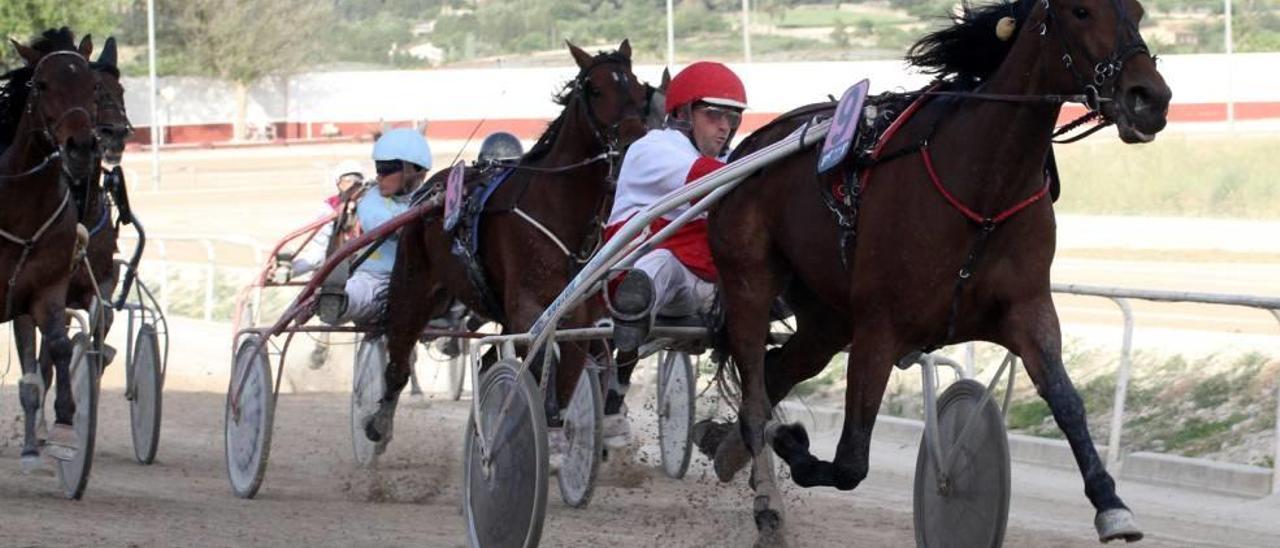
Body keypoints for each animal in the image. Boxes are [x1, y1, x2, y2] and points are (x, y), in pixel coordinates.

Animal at [366, 40, 655, 448]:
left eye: (639, 91)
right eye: (597, 89)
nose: (633, 143)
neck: (559, 207)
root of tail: (432, 189)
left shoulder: (577, 315)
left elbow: (568, 379)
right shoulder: (527, 308)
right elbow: (536, 367)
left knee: (488, 359)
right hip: (415, 285)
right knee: (398, 356)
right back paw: (380, 422)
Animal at [711, 0, 1172, 540]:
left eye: (1138, 12)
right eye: (1081, 11)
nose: (1151, 98)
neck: (983, 189)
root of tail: (750, 145)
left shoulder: (1028, 308)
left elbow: (1067, 402)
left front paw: (1111, 504)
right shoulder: (879, 326)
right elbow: (850, 462)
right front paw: (791, 443)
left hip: (826, 319)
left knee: (777, 373)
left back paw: (723, 452)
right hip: (749, 279)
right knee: (754, 400)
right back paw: (767, 500)